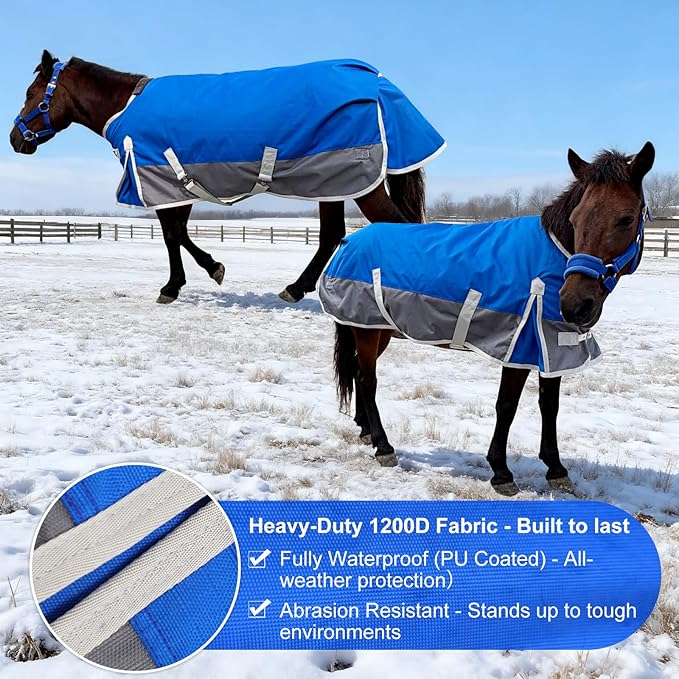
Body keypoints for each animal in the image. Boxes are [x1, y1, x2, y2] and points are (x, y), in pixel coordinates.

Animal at [10, 50, 445, 305]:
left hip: (359, 184)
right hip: (334, 183)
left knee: (397, 229)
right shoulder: (178, 185)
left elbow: (173, 235)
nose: (15, 138)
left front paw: (179, 284)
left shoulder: (161, 182)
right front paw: (203, 273)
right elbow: (179, 234)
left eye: (31, 94)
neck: (126, 107)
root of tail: (377, 81)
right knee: (332, 235)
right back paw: (296, 289)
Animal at [321, 142, 655, 495]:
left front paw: (555, 469)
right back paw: (384, 447)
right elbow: (506, 406)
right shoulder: (520, 346)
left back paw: (366, 432)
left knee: (359, 373)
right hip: (367, 330)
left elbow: (549, 405)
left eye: (625, 218)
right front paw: (501, 472)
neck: (551, 257)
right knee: (367, 380)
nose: (575, 304)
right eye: (575, 220)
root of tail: (349, 241)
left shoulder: (552, 349)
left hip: (376, 329)